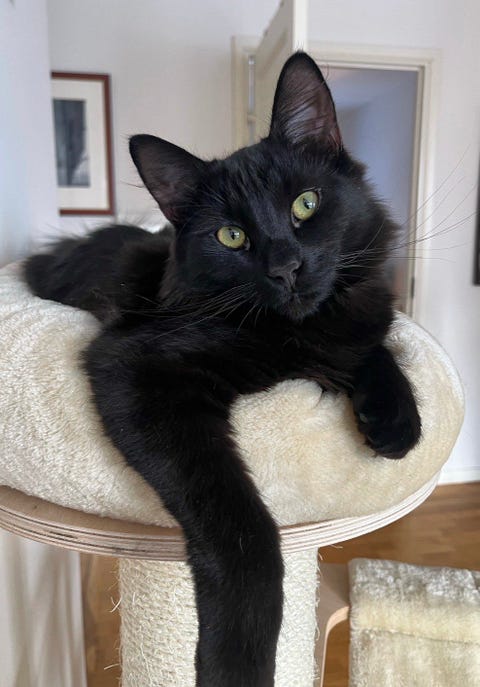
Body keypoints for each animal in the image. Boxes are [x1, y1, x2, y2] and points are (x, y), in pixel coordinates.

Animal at [24, 52, 421, 686]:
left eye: (305, 204)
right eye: (230, 237)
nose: (286, 267)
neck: (298, 332)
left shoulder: (357, 319)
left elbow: (372, 344)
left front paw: (396, 419)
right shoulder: (139, 369)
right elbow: (245, 533)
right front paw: (237, 664)